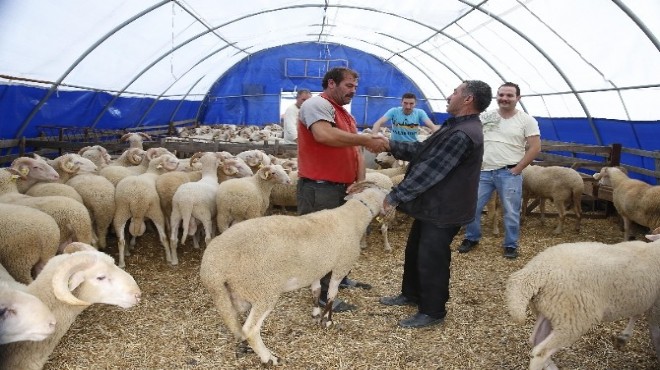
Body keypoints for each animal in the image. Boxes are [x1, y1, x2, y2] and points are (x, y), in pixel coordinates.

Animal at [201, 182, 386, 364]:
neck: (354, 217)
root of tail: (210, 268)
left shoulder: (315, 267)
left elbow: (316, 290)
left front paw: (316, 313)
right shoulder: (342, 264)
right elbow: (332, 294)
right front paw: (327, 320)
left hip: (233, 292)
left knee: (236, 323)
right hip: (263, 289)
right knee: (251, 329)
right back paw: (269, 358)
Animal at [508, 231, 660, 370]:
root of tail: (537, 271)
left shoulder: (646, 298)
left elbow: (637, 314)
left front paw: (624, 337)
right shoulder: (654, 306)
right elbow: (651, 329)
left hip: (552, 311)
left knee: (535, 340)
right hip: (573, 319)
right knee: (541, 352)